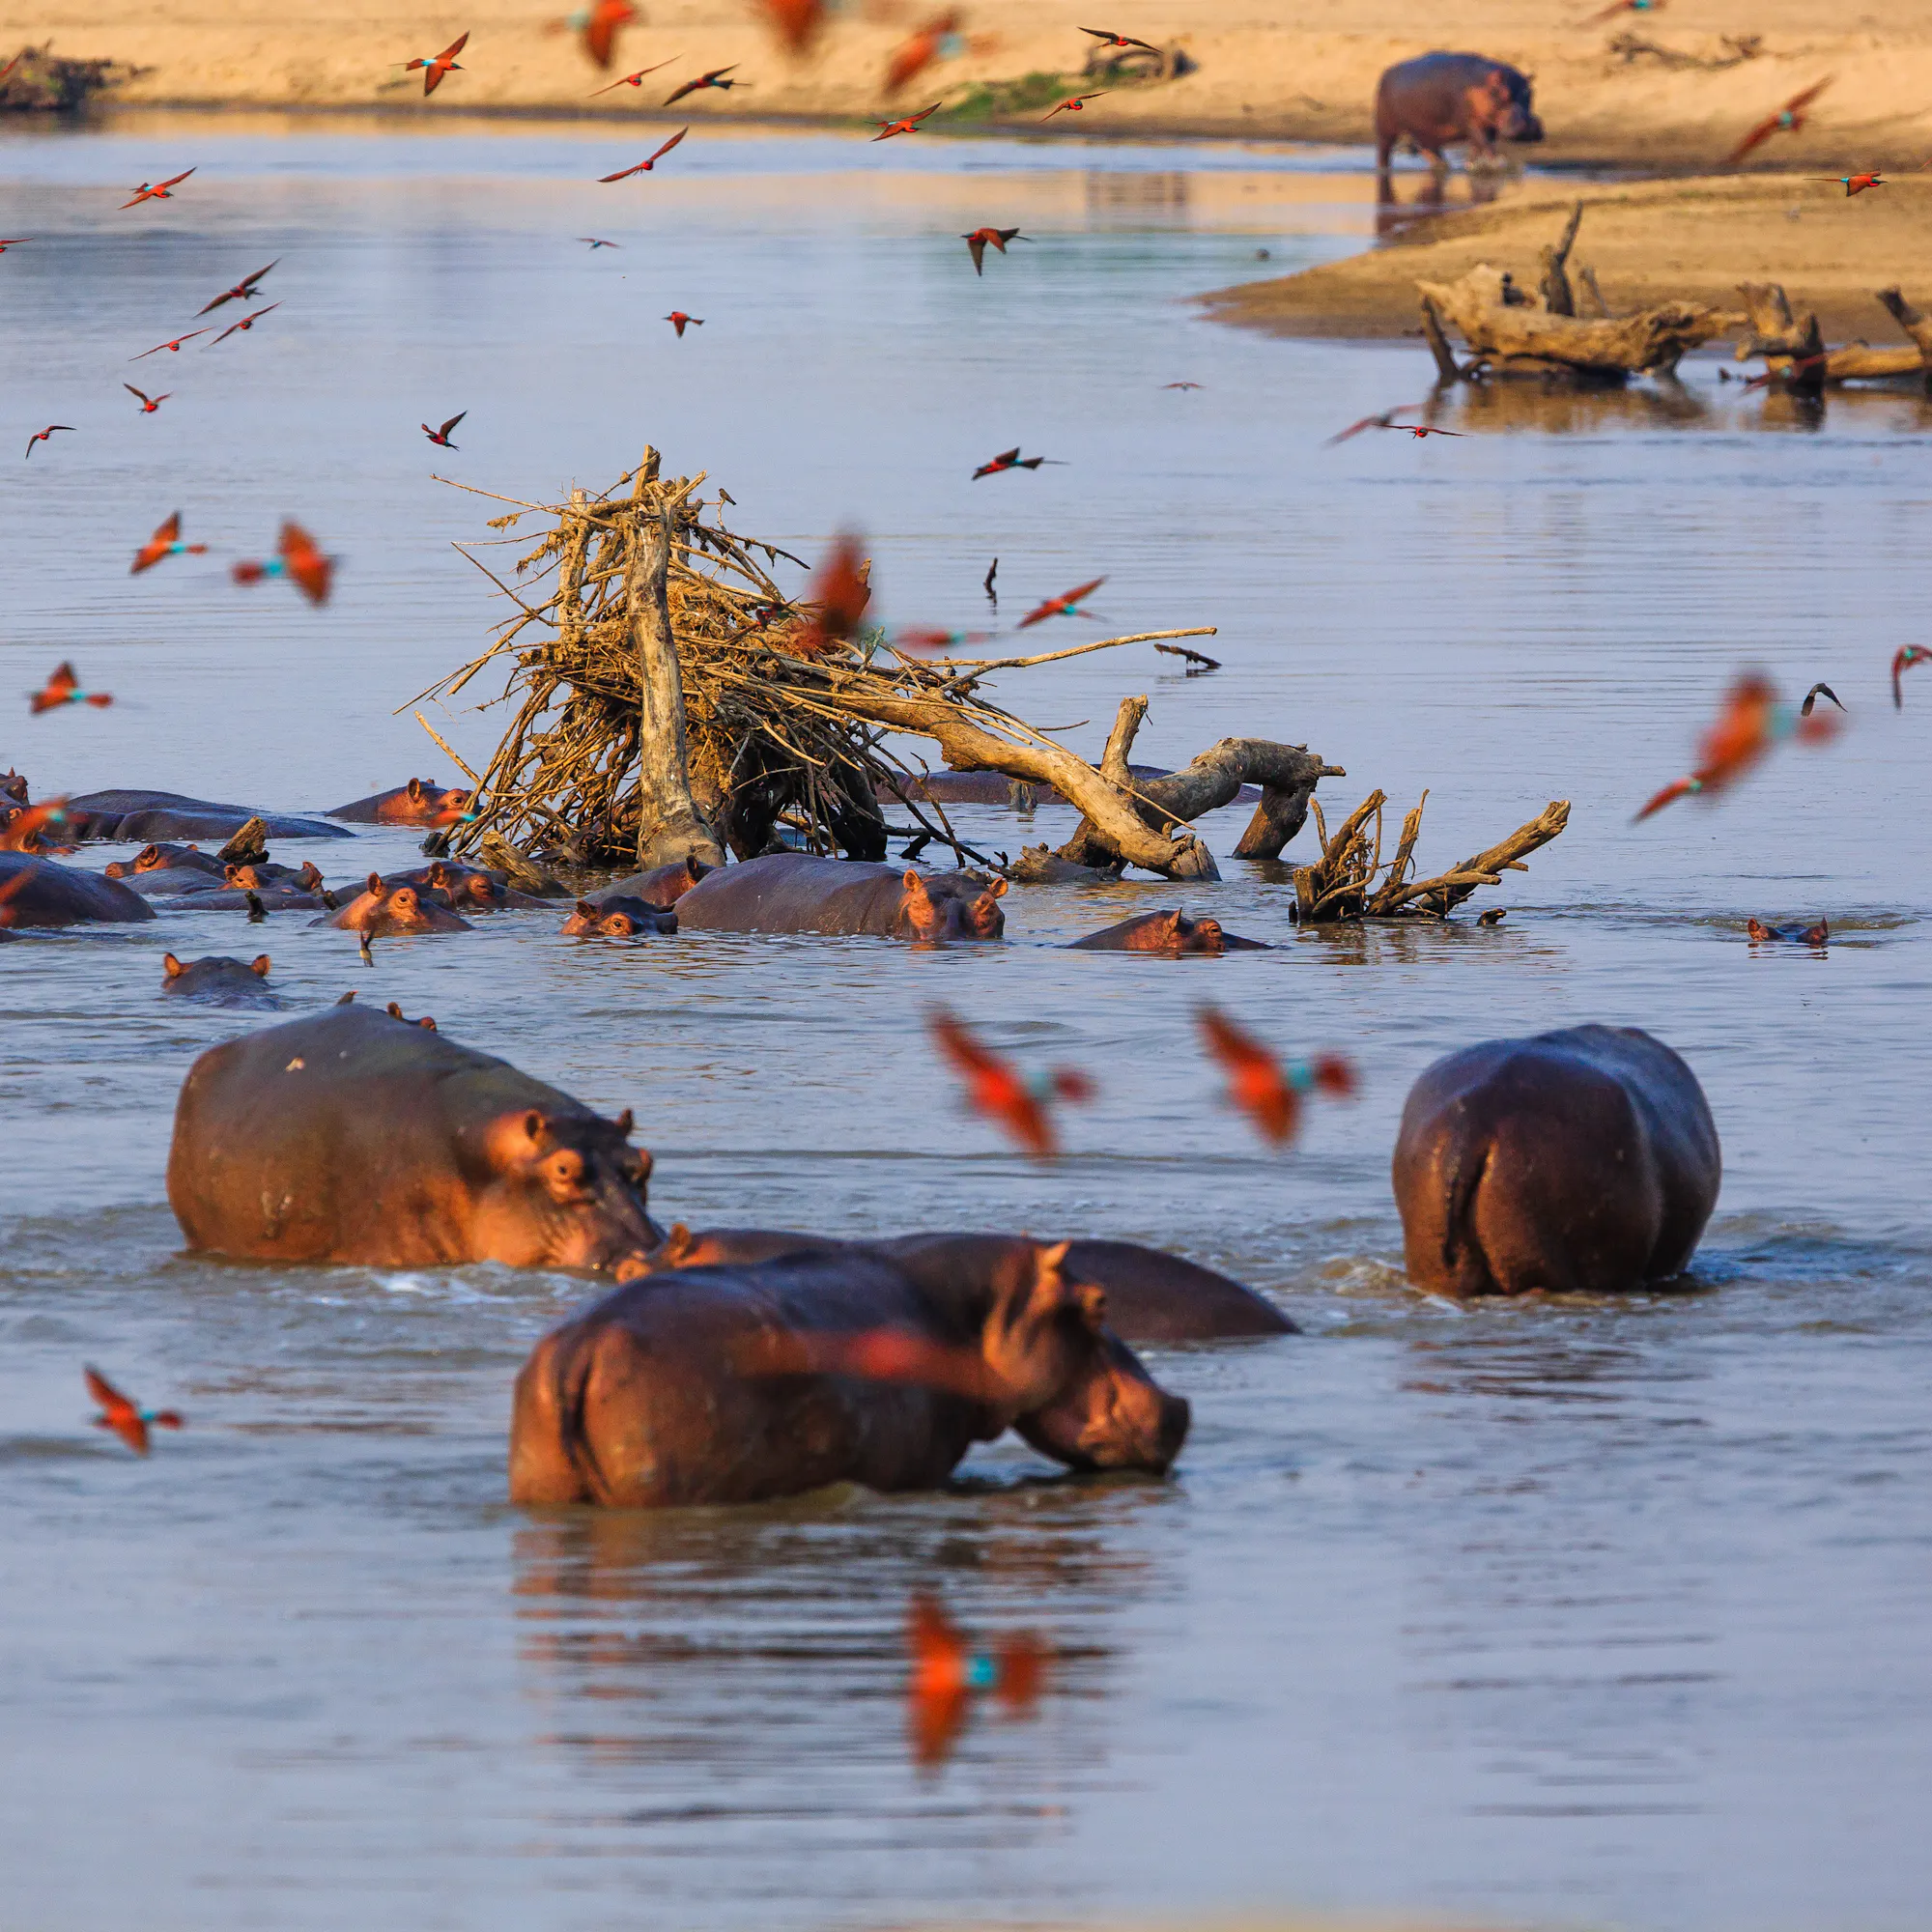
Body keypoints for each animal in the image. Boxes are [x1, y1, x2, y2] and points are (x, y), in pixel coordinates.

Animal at [1374, 52, 1544, 173]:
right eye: (1504, 94)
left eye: (1530, 93)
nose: (1529, 128)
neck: (1483, 84)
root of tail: (1386, 72)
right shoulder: (1471, 122)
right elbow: (1484, 142)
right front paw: (1498, 164)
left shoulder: (1489, 125)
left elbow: (1479, 145)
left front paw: (1474, 164)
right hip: (1386, 127)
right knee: (1384, 150)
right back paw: (1383, 168)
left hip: (1423, 129)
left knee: (1427, 148)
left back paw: (1442, 165)